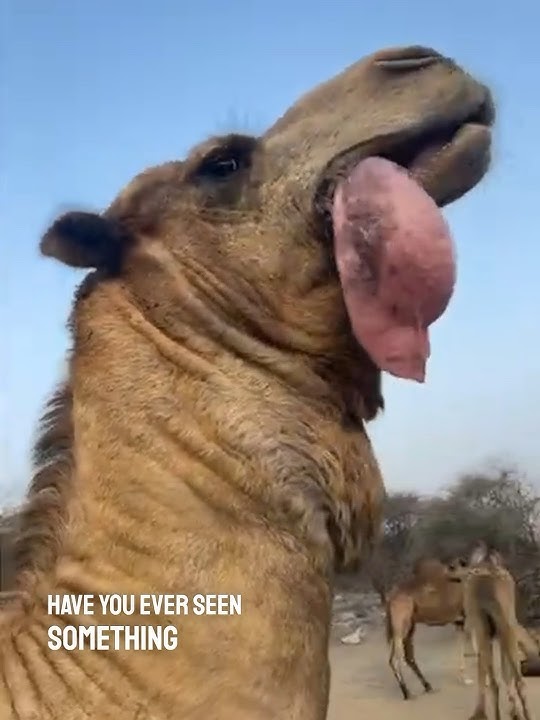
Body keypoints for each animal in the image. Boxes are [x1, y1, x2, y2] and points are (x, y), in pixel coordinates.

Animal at [463, 543, 537, 720]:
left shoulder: (482, 631)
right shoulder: (503, 630)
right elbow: (506, 674)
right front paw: (515, 712)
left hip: (486, 630)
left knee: (494, 683)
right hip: (508, 628)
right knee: (519, 681)